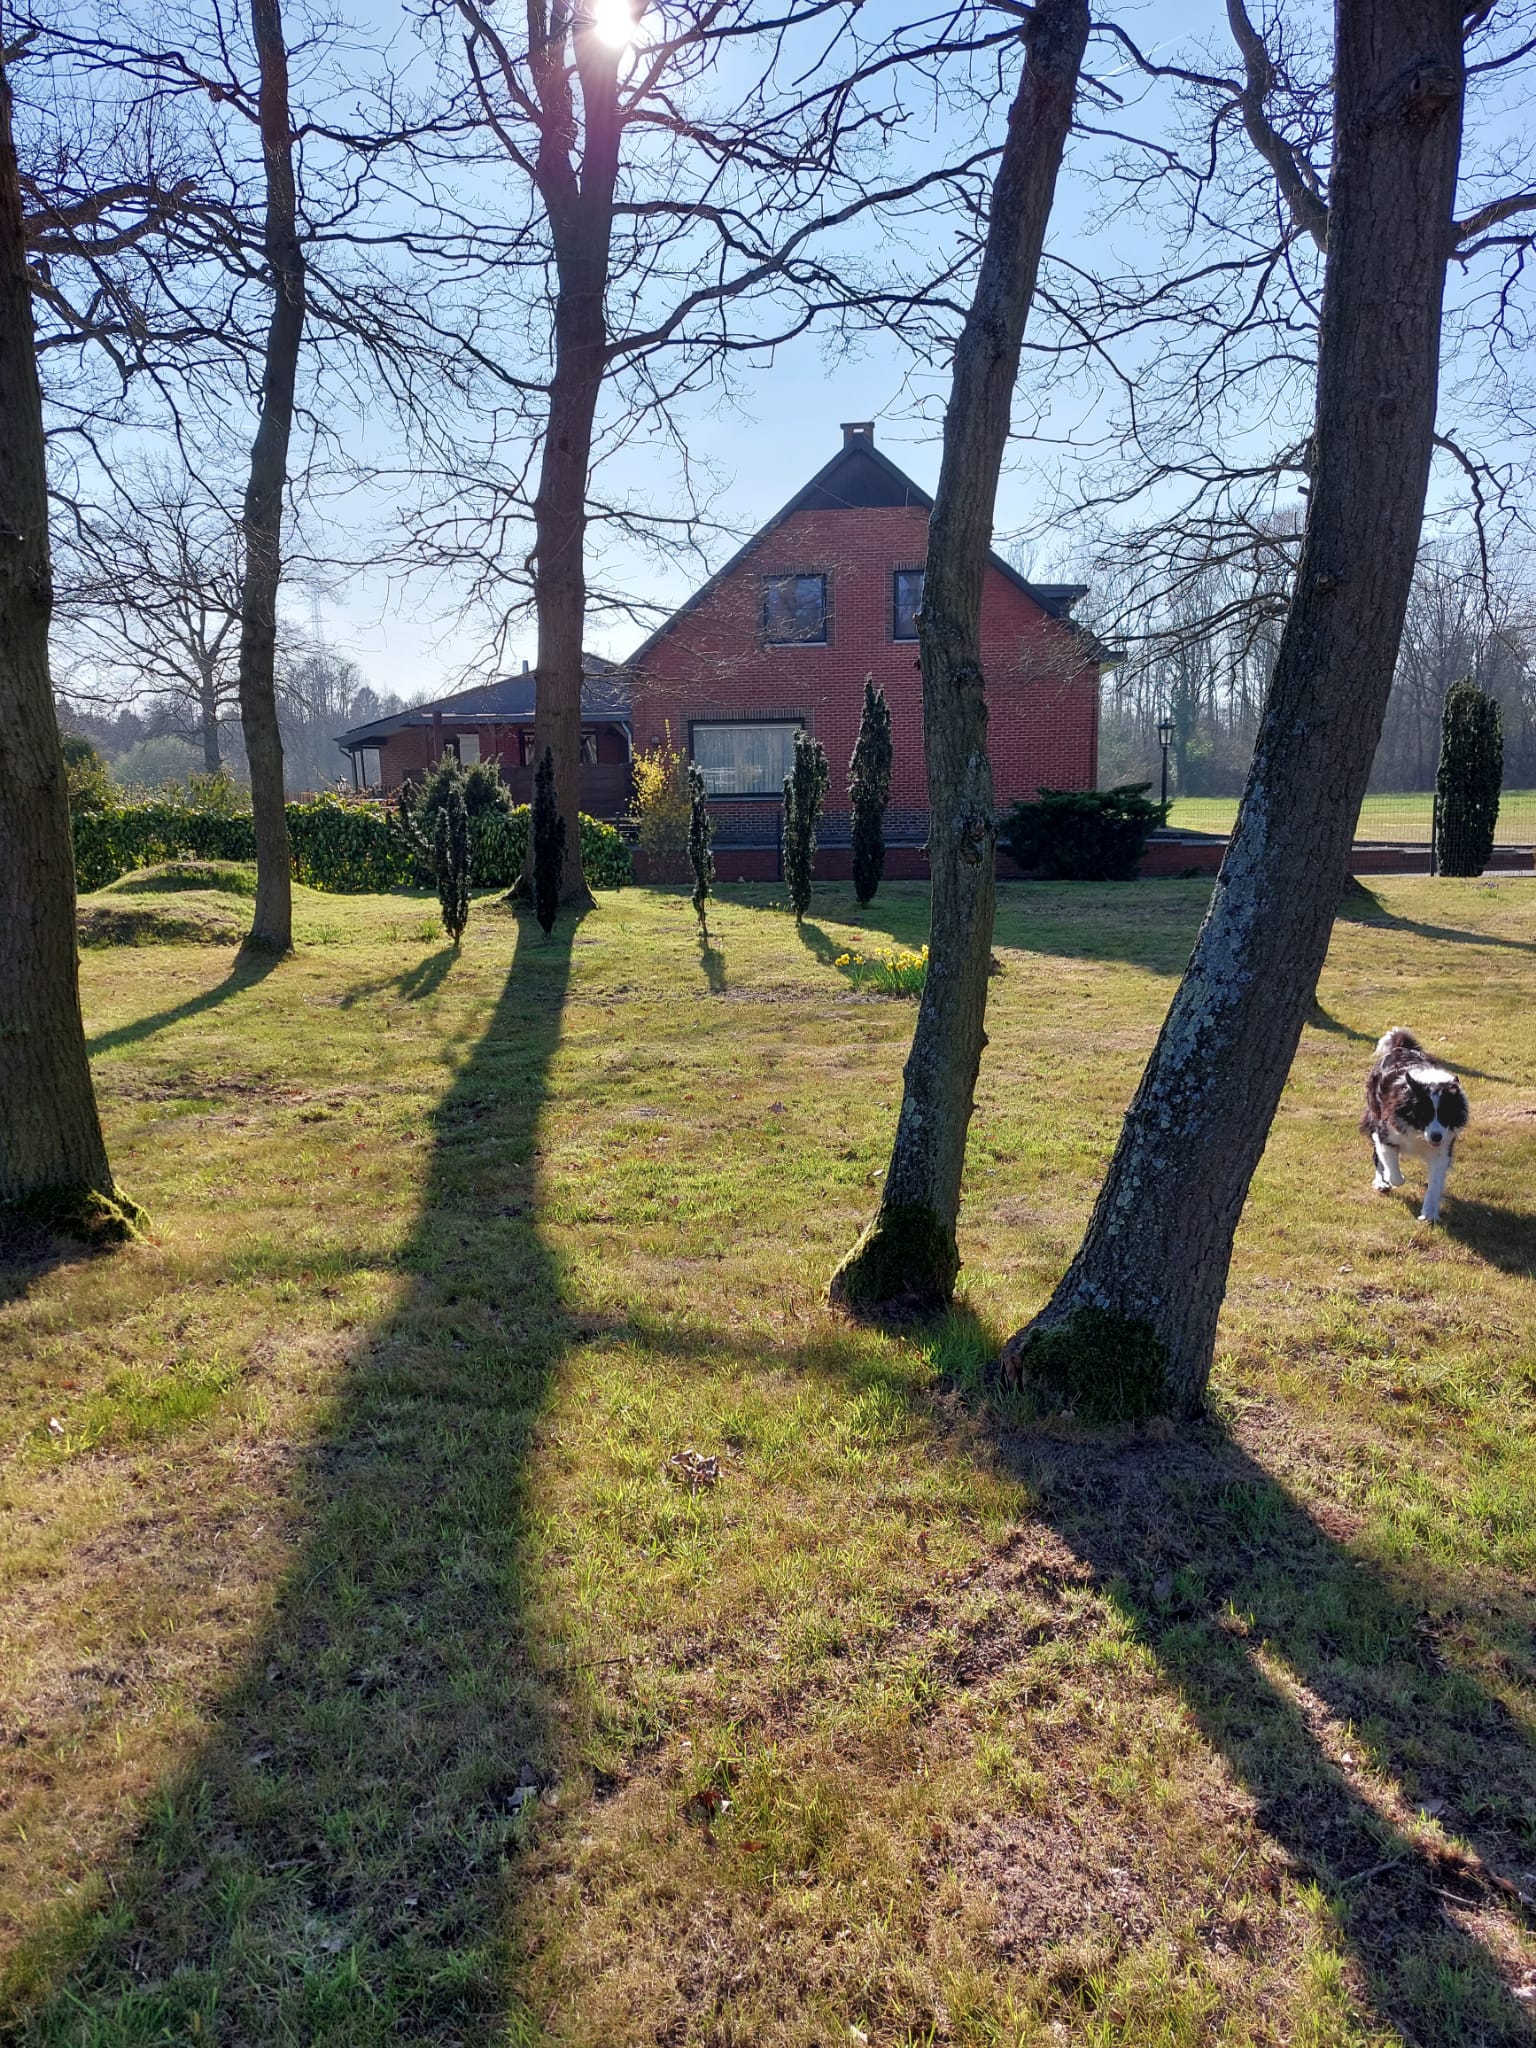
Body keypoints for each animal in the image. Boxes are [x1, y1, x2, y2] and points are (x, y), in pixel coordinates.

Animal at [1361, 1027, 1468, 1223]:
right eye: (1424, 1114)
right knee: (1376, 1156)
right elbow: (1394, 1172)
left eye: (1445, 1114)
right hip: (1374, 1113)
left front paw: (1429, 1214)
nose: (1436, 1137)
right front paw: (1391, 1179)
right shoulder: (1385, 1134)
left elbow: (1435, 1184)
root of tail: (1400, 1047)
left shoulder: (1443, 1148)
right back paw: (1381, 1182)